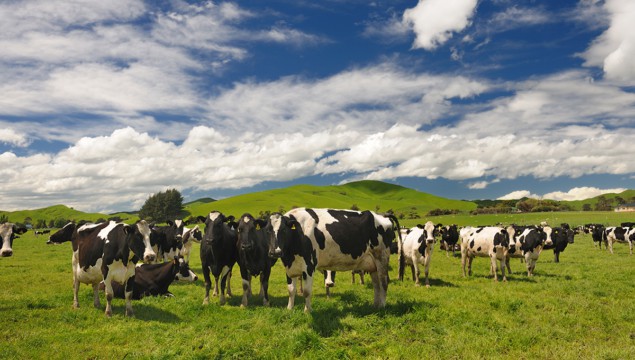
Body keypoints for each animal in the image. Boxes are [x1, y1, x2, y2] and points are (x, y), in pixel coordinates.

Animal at [268, 208, 398, 312]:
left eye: (284, 230)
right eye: (267, 230)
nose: (275, 252)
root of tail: (382, 215)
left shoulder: (309, 266)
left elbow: (306, 291)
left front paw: (307, 311)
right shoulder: (290, 268)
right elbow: (291, 290)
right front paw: (289, 309)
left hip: (382, 257)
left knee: (383, 282)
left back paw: (382, 306)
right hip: (372, 263)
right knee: (376, 284)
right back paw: (375, 306)